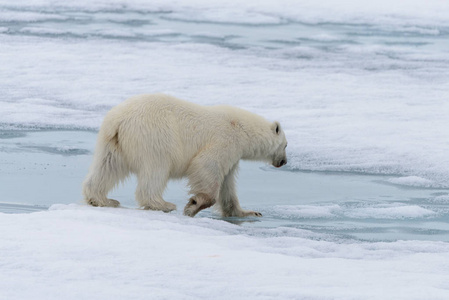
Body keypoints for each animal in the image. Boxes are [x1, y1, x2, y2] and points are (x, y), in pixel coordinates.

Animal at [82, 92, 288, 217]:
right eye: (286, 145)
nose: (284, 162)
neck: (242, 128)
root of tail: (119, 120)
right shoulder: (224, 141)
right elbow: (206, 165)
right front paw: (193, 205)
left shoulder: (233, 156)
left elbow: (228, 185)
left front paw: (249, 212)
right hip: (156, 136)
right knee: (156, 169)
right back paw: (163, 204)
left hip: (112, 142)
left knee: (107, 166)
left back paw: (101, 199)